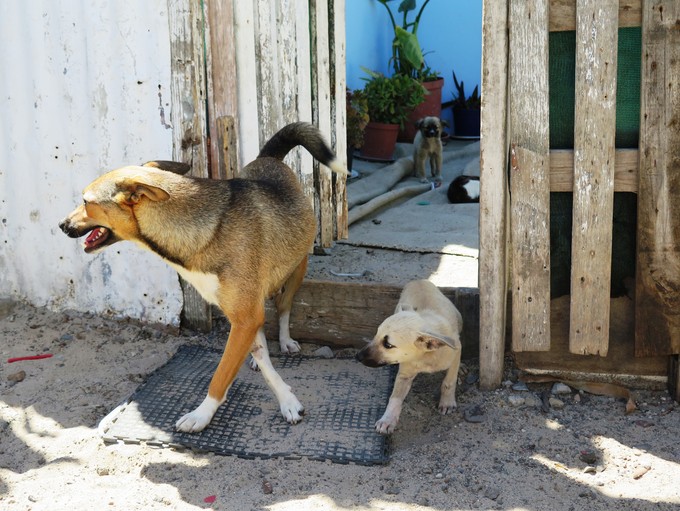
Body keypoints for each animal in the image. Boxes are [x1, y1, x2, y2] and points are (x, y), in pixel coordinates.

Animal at [58, 122, 346, 434]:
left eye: (86, 202)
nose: (61, 225)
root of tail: (269, 158)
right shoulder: (241, 315)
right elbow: (256, 358)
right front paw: (284, 395)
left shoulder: (245, 316)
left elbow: (220, 375)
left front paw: (202, 414)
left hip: (297, 269)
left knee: (283, 308)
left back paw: (284, 340)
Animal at [356, 280, 462, 436]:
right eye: (376, 334)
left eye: (388, 345)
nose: (357, 356)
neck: (424, 357)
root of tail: (418, 280)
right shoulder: (404, 374)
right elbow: (394, 398)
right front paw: (387, 420)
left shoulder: (456, 352)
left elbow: (449, 381)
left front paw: (447, 402)